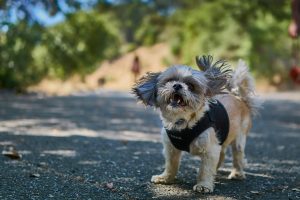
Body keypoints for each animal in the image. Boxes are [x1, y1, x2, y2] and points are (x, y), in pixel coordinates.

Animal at [131, 55, 260, 193]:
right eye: (170, 80)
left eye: (190, 85)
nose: (177, 85)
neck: (183, 123)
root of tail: (239, 99)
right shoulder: (171, 149)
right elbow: (171, 165)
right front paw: (165, 178)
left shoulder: (210, 149)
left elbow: (205, 169)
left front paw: (203, 185)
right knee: (222, 155)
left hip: (239, 139)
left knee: (238, 156)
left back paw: (237, 173)